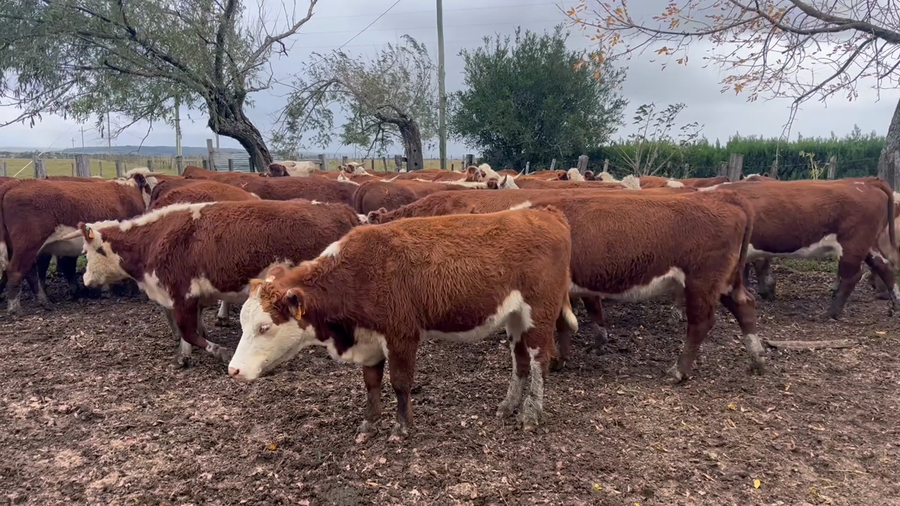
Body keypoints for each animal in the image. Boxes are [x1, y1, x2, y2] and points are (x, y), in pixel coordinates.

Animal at [0, 174, 157, 313]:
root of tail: (16, 183)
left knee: (30, 272)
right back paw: (15, 308)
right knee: (16, 270)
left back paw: (44, 301)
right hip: (27, 244)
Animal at [71, 199, 365, 366]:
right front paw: (185, 353)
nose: (84, 279)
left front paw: (217, 351)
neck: (154, 239)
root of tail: (341, 209)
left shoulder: (182, 294)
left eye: (87, 252)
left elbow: (189, 330)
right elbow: (190, 330)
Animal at [227, 206, 577, 439]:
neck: (356, 274)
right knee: (520, 361)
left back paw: (531, 414)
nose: (233, 370)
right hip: (515, 319)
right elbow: (371, 384)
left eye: (264, 327)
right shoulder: (368, 340)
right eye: (244, 324)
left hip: (539, 314)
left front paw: (402, 426)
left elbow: (400, 382)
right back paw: (508, 406)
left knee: (538, 361)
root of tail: (545, 213)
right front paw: (369, 422)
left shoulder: (401, 335)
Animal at [370, 189, 761, 382]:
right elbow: (569, 320)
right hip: (726, 282)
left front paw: (556, 360)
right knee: (746, 306)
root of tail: (730, 200)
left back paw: (679, 371)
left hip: (702, 282)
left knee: (700, 324)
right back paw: (756, 358)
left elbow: (558, 324)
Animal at [701, 177, 897, 317]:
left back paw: (830, 313)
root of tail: (866, 181)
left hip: (853, 245)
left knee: (852, 277)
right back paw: (895, 305)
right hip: (868, 245)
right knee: (884, 266)